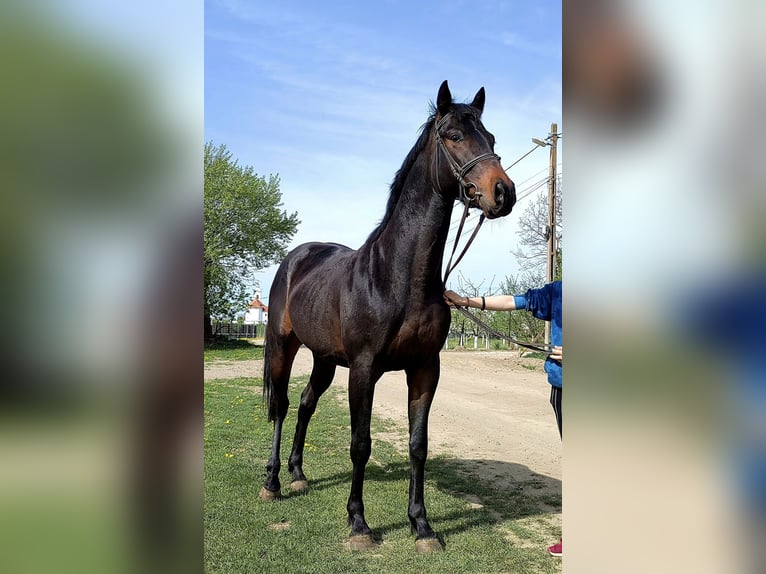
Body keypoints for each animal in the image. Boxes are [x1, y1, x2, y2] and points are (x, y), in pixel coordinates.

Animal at [260, 81, 520, 552]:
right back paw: (272, 482)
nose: (502, 193)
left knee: (306, 404)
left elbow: (419, 445)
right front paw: (359, 524)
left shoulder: (425, 368)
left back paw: (298, 474)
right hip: (285, 346)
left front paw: (422, 526)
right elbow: (360, 444)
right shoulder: (364, 370)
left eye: (491, 139)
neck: (399, 277)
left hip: (325, 360)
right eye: (454, 135)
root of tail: (298, 256)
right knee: (283, 407)